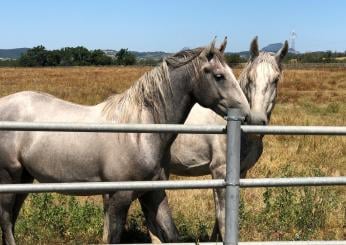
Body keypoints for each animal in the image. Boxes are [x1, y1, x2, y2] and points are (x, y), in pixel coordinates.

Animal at [0, 37, 250, 243]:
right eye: (219, 76)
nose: (247, 115)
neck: (139, 133)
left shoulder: (154, 193)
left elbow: (171, 234)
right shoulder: (119, 197)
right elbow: (114, 237)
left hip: (24, 179)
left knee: (11, 220)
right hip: (9, 177)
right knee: (6, 221)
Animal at [142, 37, 288, 242]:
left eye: (275, 80)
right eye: (250, 78)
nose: (256, 120)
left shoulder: (240, 173)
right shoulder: (219, 171)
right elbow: (222, 218)